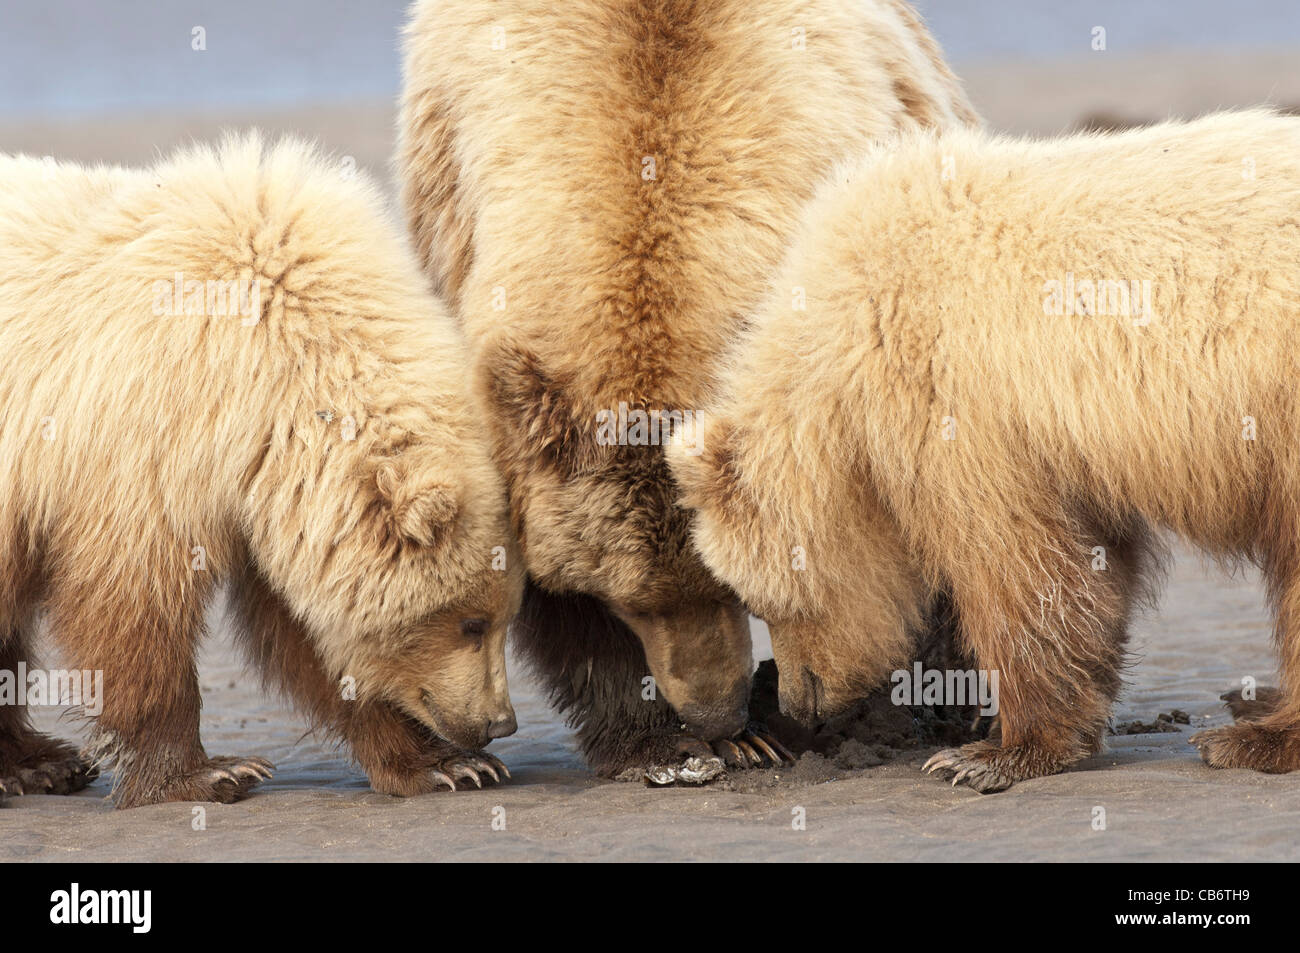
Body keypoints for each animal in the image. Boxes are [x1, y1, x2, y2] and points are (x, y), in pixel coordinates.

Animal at [0, 135, 522, 808]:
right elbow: (136, 601)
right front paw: (208, 773)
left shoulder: (275, 489)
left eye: (507, 615)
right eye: (470, 622)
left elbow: (309, 632)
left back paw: (37, 762)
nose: (498, 723)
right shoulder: (153, 435)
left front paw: (444, 764)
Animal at [668, 109, 1300, 792]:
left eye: (761, 604)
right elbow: (1095, 560)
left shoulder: (954, 400)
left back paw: (1254, 737)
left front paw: (988, 754)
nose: (797, 704)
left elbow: (1016, 561)